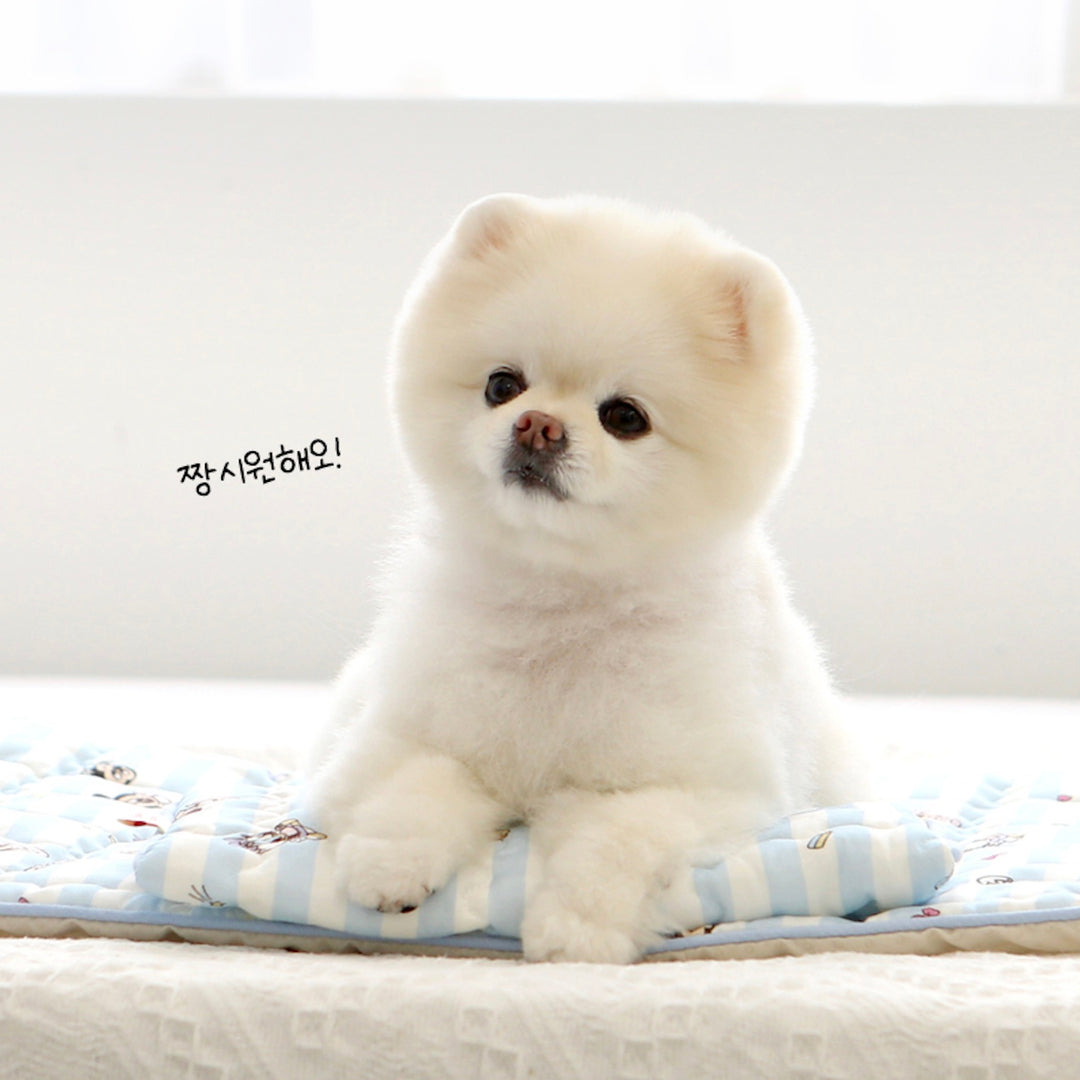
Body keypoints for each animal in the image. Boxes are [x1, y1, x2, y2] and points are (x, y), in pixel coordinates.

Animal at [306, 194, 858, 962]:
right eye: (502, 385)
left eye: (624, 417)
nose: (537, 425)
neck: (561, 604)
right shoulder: (395, 731)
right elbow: (416, 779)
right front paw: (390, 865)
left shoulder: (704, 790)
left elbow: (613, 843)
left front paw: (575, 930)